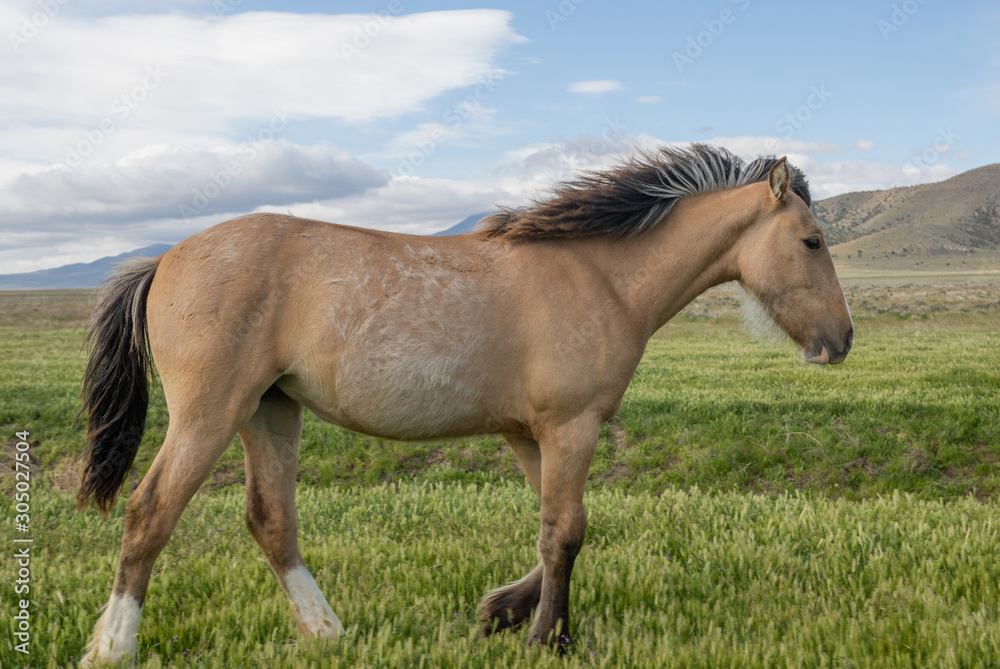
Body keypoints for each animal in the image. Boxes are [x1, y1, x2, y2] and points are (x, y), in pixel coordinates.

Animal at [78, 143, 853, 665]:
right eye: (812, 240)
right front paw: (547, 636)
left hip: (270, 410)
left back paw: (328, 632)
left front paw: (501, 611)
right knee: (150, 514)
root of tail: (165, 259)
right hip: (210, 415)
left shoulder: (529, 434)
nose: (841, 341)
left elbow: (558, 525)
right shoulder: (571, 426)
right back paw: (113, 646)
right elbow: (566, 532)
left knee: (271, 521)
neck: (601, 275)